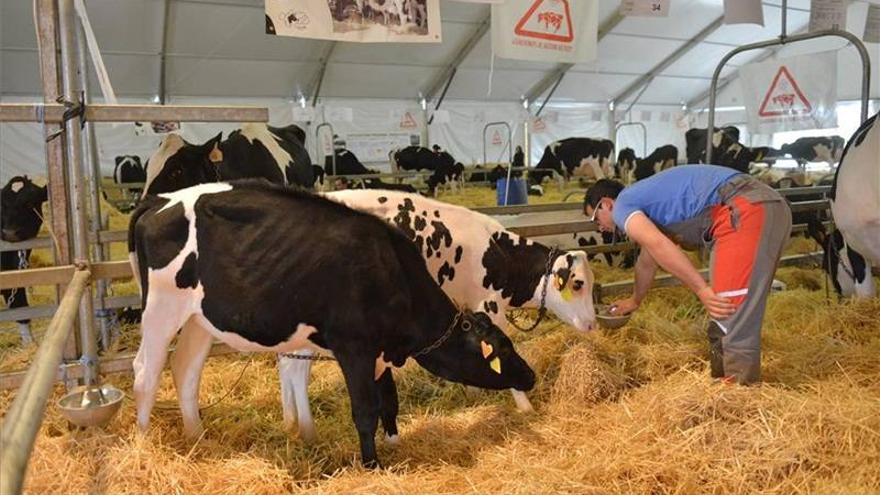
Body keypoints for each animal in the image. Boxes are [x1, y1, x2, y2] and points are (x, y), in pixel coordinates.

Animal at [127, 180, 532, 466]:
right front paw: (372, 465)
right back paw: (144, 443)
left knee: (185, 369)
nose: (530, 377)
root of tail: (159, 201)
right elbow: (366, 409)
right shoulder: (354, 346)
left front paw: (394, 442)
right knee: (146, 372)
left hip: (198, 319)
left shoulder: (379, 350)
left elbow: (389, 399)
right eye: (501, 347)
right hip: (161, 309)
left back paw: (197, 436)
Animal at [282, 190, 600, 442]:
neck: (499, 255)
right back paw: (308, 431)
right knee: (295, 369)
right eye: (577, 284)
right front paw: (525, 406)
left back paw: (290, 422)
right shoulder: (490, 306)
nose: (591, 324)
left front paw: (473, 394)